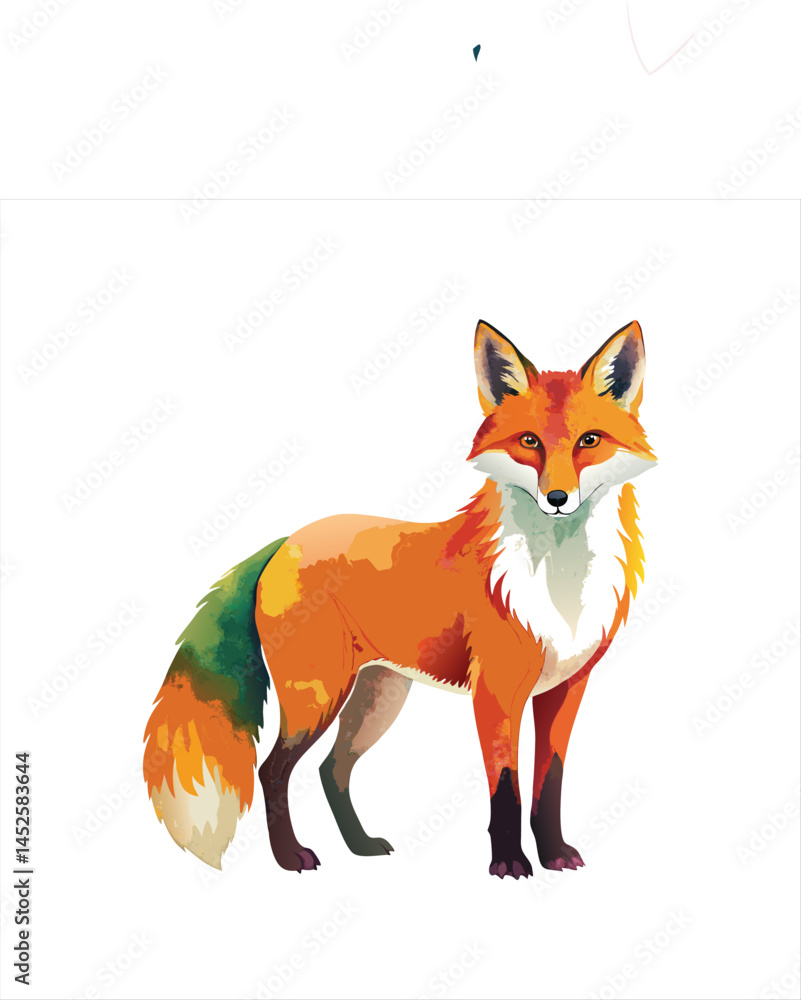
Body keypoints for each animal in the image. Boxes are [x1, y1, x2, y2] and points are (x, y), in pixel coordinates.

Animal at [143, 318, 657, 879]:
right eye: (529, 442)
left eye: (590, 441)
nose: (558, 499)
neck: (558, 585)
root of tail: (287, 540)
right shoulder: (495, 693)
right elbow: (507, 789)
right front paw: (509, 864)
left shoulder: (566, 689)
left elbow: (551, 785)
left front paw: (555, 855)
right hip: (318, 697)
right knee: (272, 769)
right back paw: (291, 857)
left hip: (377, 699)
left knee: (331, 770)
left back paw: (361, 845)